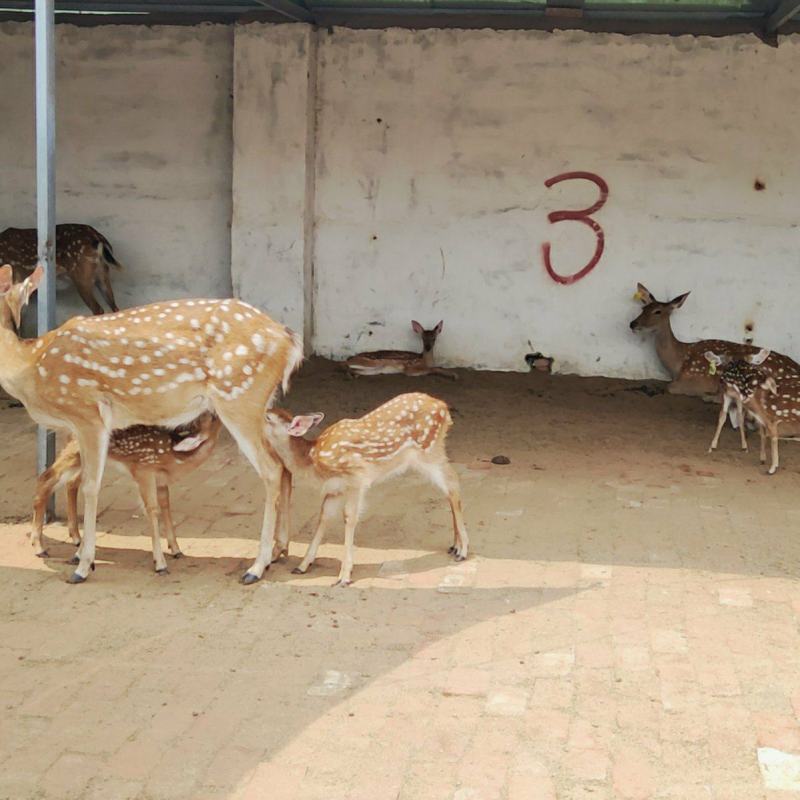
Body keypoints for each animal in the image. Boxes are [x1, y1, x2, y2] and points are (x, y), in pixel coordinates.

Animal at [31, 412, 222, 573]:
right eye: (212, 417)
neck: (174, 457)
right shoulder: (144, 469)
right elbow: (152, 510)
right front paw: (160, 564)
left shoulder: (160, 480)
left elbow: (166, 506)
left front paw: (176, 549)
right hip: (74, 450)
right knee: (44, 480)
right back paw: (39, 547)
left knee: (70, 483)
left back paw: (76, 538)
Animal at [263, 392, 469, 587]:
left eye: (268, 417)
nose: (259, 414)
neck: (313, 459)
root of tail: (444, 407)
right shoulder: (335, 488)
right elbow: (324, 516)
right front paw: (303, 565)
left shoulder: (356, 478)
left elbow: (349, 517)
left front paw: (344, 576)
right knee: (449, 487)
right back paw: (455, 545)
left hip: (429, 450)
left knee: (453, 483)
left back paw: (463, 549)